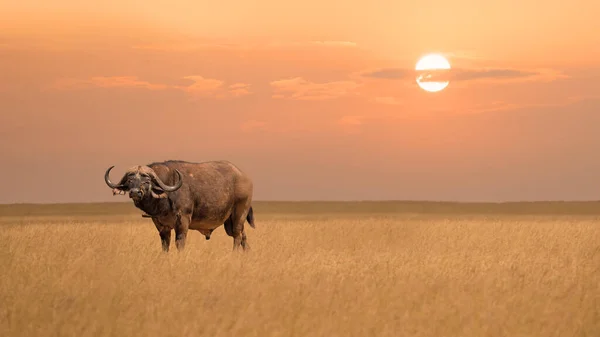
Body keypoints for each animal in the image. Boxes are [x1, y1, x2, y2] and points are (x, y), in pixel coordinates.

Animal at [104, 161, 254, 252]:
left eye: (147, 181)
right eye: (130, 180)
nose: (135, 192)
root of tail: (245, 178)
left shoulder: (183, 221)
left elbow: (179, 243)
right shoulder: (161, 225)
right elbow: (165, 244)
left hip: (239, 214)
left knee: (237, 236)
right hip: (229, 222)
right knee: (243, 236)